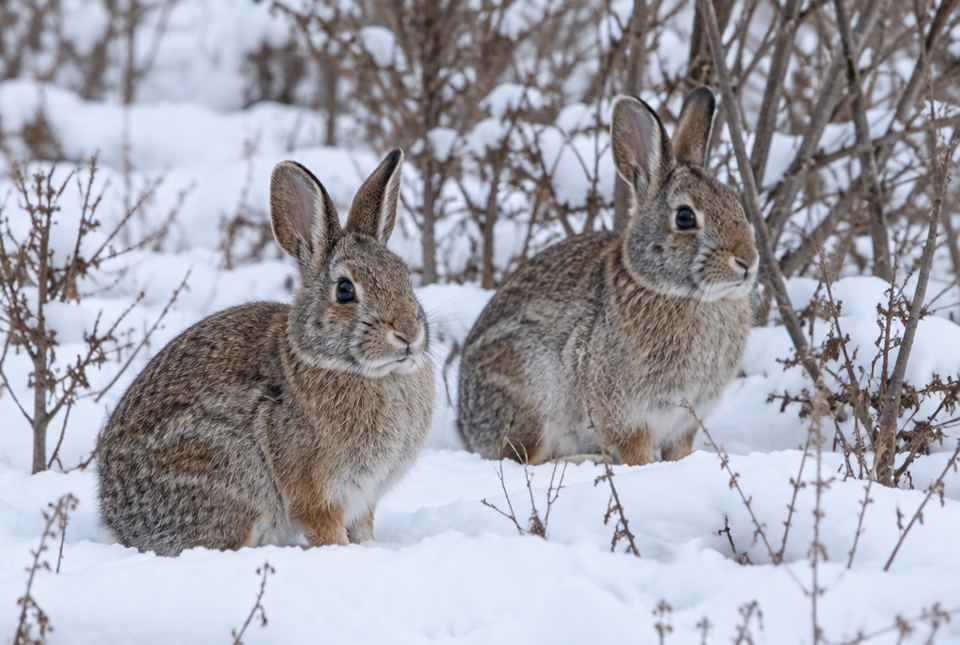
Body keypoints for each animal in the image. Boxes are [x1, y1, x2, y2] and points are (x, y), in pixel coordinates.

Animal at [97, 149, 435, 556]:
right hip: (232, 479)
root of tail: (120, 523)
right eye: (344, 290)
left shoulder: (364, 498)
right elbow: (326, 530)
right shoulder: (317, 493)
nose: (408, 333)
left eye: (406, 277)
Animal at [457, 87, 757, 466]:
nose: (747, 261)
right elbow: (634, 451)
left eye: (736, 204)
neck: (678, 292)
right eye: (685, 218)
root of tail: (466, 424)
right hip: (530, 396)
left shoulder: (686, 419)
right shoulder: (623, 412)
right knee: (520, 458)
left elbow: (679, 451)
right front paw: (643, 469)